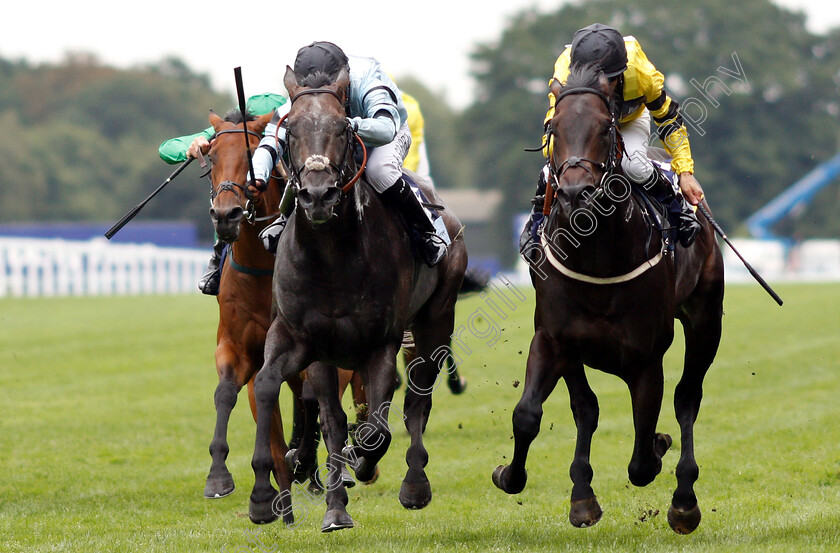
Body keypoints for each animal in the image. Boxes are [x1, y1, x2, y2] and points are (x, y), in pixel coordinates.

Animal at [246, 67, 470, 528]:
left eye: (342, 129)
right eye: (290, 131)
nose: (317, 194)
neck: (332, 257)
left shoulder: (380, 343)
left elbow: (378, 428)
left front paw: (361, 461)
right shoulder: (305, 340)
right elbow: (277, 390)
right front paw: (278, 495)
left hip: (436, 321)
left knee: (417, 402)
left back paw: (414, 485)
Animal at [492, 66, 720, 536]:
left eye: (603, 127)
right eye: (554, 129)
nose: (575, 191)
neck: (597, 256)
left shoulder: (646, 358)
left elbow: (642, 458)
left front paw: (660, 447)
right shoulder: (554, 338)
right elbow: (536, 413)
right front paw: (520, 478)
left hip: (706, 321)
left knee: (687, 399)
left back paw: (684, 502)